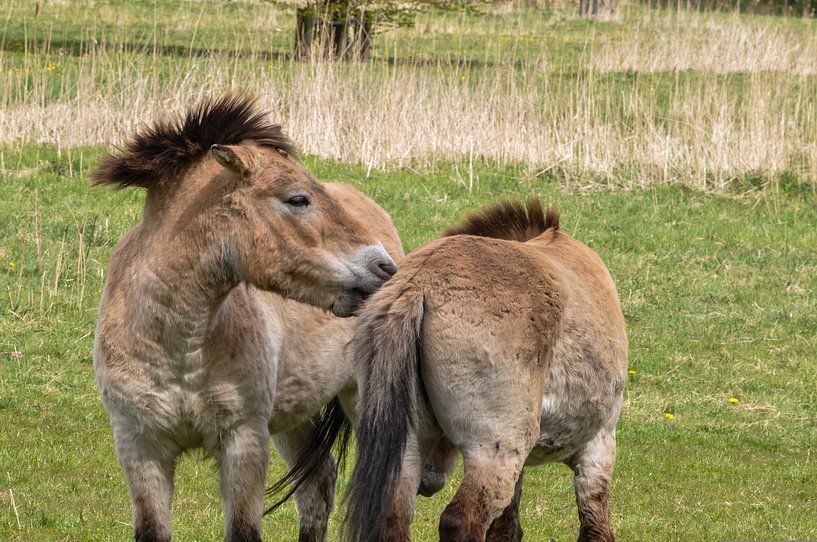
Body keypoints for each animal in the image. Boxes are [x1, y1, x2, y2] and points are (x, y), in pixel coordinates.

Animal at [92, 95, 398, 542]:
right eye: (298, 199)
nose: (383, 267)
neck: (180, 344)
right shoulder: (140, 445)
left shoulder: (243, 441)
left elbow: (243, 530)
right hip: (295, 417)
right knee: (317, 486)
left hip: (361, 400)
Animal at [304, 198, 628, 542]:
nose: (430, 481)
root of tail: (417, 286)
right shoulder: (598, 447)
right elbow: (595, 528)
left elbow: (507, 529)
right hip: (495, 450)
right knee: (460, 520)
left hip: (408, 450)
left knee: (392, 517)